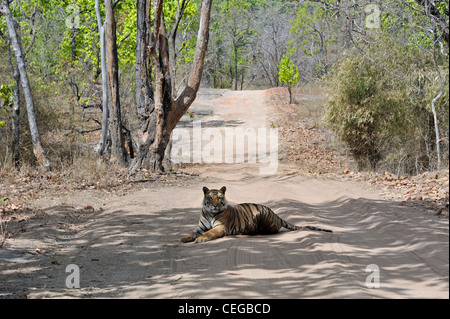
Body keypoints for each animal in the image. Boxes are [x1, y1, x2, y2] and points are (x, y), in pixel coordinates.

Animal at [181, 186, 332, 244]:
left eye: (219, 198)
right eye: (210, 197)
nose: (215, 206)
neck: (209, 213)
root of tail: (277, 215)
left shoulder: (220, 227)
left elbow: (209, 233)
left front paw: (200, 239)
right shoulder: (199, 227)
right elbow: (192, 232)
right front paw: (184, 238)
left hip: (262, 214)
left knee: (268, 230)